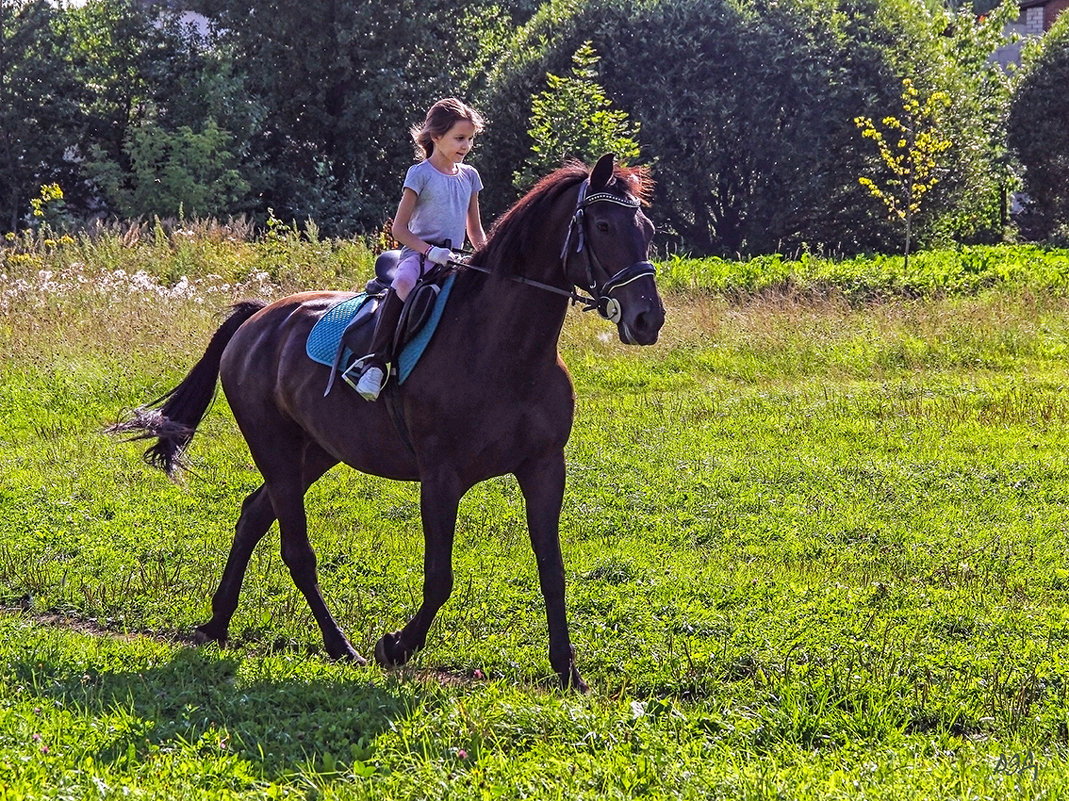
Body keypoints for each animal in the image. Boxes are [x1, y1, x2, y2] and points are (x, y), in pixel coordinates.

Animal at [119, 155, 667, 688]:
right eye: (602, 224)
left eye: (645, 226)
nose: (648, 319)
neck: (506, 350)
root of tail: (256, 318)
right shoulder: (441, 477)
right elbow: (440, 576)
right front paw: (397, 645)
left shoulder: (545, 468)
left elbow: (551, 567)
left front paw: (567, 669)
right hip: (274, 448)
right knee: (296, 549)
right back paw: (341, 645)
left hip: (316, 452)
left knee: (254, 515)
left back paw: (219, 621)